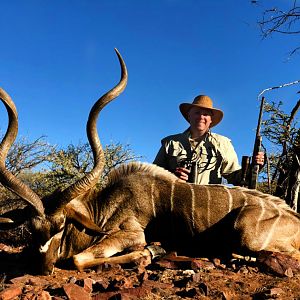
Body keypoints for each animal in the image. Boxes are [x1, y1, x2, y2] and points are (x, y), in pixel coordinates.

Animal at [0, 48, 300, 274]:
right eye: (32, 228)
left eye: (61, 225)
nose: (43, 267)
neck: (103, 206)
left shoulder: (131, 234)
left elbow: (79, 258)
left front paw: (150, 252)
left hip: (245, 232)